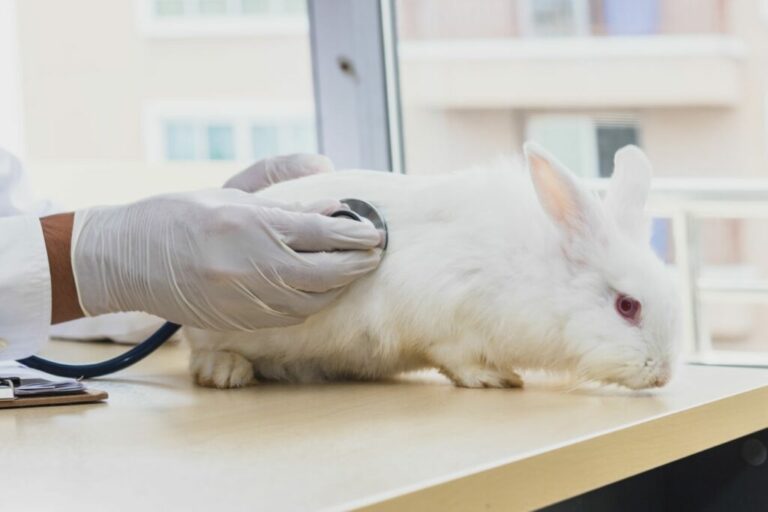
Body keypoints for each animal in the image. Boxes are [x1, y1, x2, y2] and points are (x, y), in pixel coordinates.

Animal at [184, 142, 680, 390]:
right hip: (218, 328)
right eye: (627, 306)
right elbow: (454, 357)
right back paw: (228, 373)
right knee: (200, 354)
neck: (538, 279)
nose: (662, 375)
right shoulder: (443, 317)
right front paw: (495, 377)